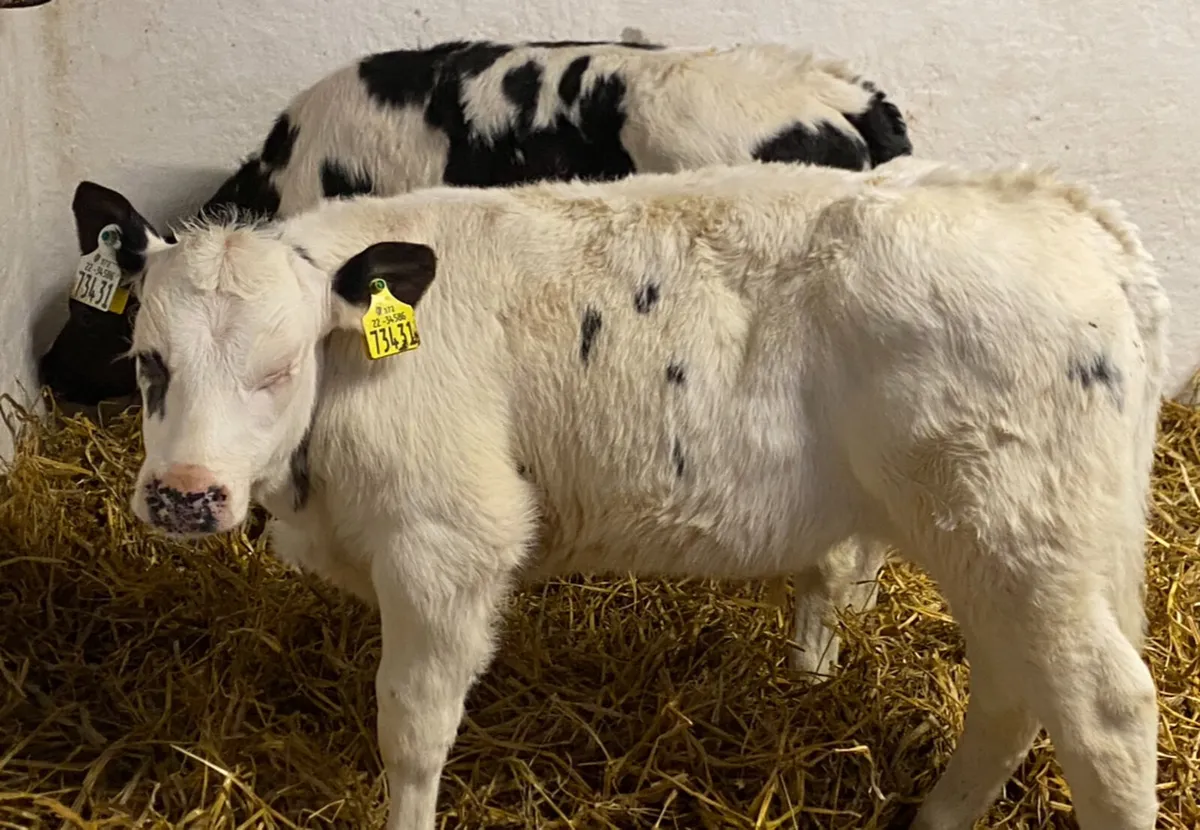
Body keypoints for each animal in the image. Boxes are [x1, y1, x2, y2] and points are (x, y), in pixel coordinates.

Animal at [72, 155, 1168, 830]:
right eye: (147, 360)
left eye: (281, 365)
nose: (184, 493)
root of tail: (1060, 207)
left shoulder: (449, 539)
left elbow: (412, 729)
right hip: (1001, 540)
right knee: (1014, 689)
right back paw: (935, 814)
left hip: (1014, 525)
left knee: (1105, 707)